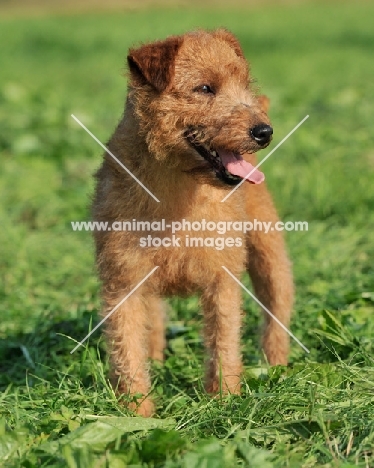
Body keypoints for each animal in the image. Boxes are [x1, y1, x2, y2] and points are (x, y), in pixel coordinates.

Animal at [92, 28, 294, 416]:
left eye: (243, 83)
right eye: (204, 88)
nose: (264, 132)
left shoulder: (222, 279)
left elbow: (223, 342)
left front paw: (224, 399)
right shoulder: (124, 282)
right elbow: (128, 351)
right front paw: (138, 413)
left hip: (270, 257)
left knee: (276, 314)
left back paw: (277, 368)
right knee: (153, 324)